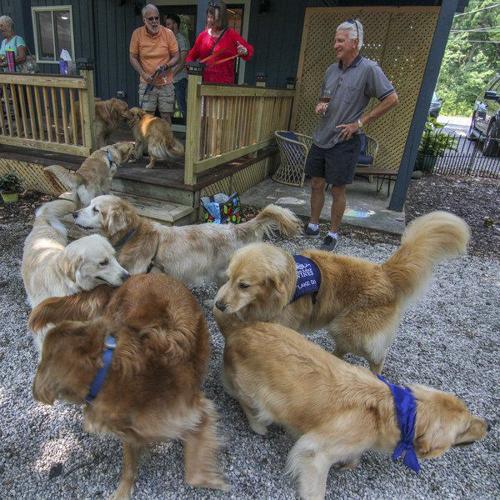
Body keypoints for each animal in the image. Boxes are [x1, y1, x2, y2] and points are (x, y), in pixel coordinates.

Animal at [29, 274, 229, 500]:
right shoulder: (130, 430)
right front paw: (124, 489)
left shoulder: (196, 412)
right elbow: (129, 464)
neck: (111, 377)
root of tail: (136, 276)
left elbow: (193, 476)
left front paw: (214, 481)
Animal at [214, 210, 468, 372]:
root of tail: (385, 273)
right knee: (342, 350)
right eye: (228, 278)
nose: (218, 304)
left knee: (377, 355)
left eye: (244, 285)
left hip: (352, 329)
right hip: (340, 327)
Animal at [215, 312, 488, 500]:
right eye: (464, 429)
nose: (488, 425)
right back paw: (258, 425)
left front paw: (349, 463)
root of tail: (238, 329)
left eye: (468, 413)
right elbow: (316, 484)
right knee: (244, 401)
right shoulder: (315, 451)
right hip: (256, 397)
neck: (391, 412)